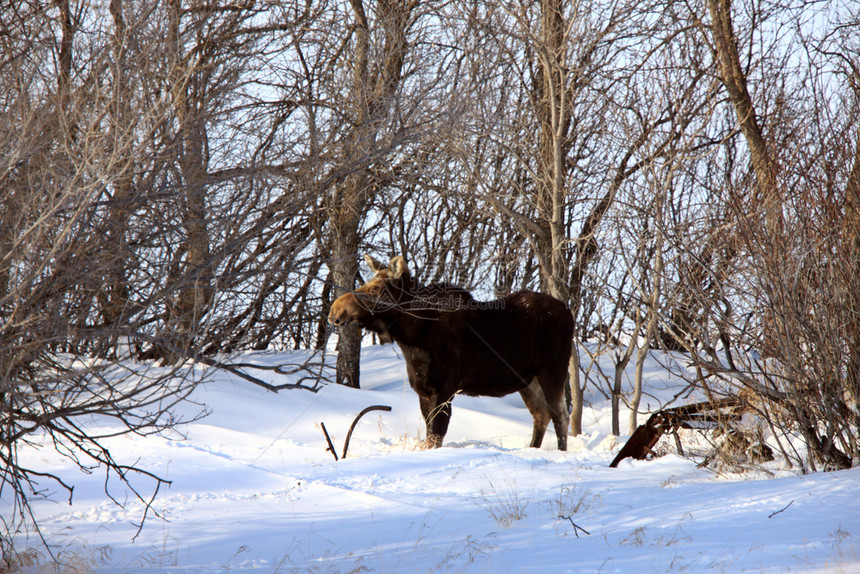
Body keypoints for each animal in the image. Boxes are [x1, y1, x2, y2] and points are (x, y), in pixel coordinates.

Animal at [328, 255, 572, 450]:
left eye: (376, 288)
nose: (335, 310)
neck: (411, 337)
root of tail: (568, 311)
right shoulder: (425, 391)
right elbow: (430, 435)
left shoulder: (443, 388)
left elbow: (436, 435)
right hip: (528, 380)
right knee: (541, 415)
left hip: (553, 372)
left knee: (560, 415)